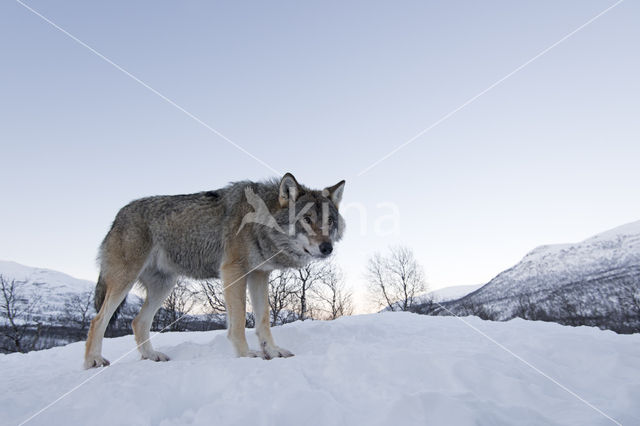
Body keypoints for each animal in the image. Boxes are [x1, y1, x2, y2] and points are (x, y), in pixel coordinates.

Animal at [85, 173, 348, 370]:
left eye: (330, 221)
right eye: (307, 219)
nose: (327, 248)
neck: (260, 221)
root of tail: (118, 216)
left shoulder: (259, 275)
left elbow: (263, 319)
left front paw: (272, 351)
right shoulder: (234, 271)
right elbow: (239, 320)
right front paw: (246, 354)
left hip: (164, 286)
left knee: (138, 322)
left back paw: (152, 356)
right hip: (124, 282)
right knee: (98, 320)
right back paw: (93, 361)